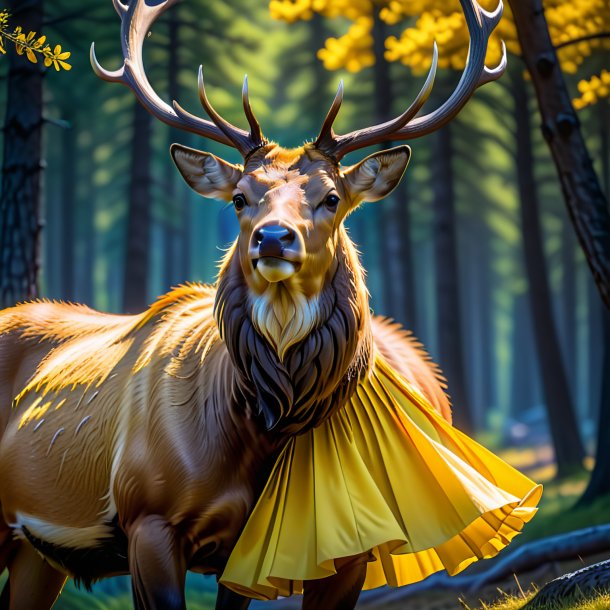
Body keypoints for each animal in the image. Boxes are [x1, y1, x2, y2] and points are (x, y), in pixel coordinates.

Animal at [0, 0, 506, 604]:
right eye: (241, 198)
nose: (273, 237)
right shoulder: (147, 517)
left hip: (36, 553)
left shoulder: (292, 549)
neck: (252, 436)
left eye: (331, 198)